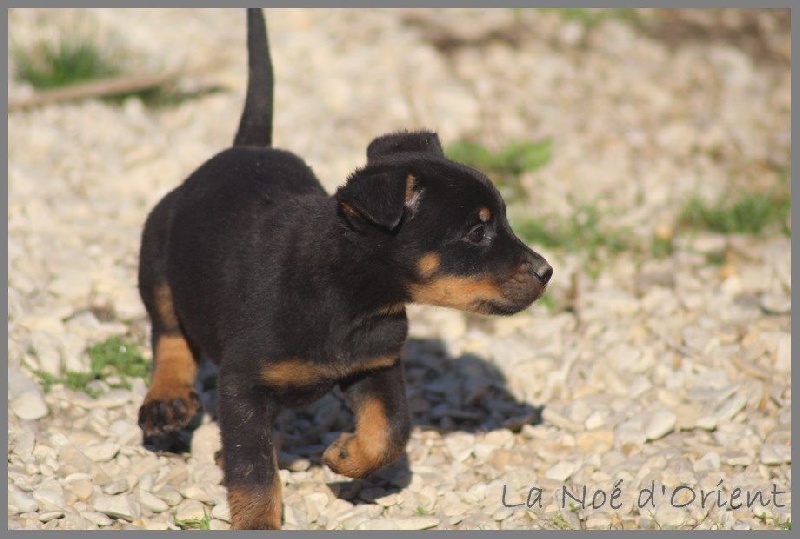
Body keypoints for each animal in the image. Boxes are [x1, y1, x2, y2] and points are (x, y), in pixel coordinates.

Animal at [137, 8, 552, 530]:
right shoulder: (241, 383)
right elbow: (254, 468)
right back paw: (167, 399)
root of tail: (242, 148)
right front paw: (258, 520)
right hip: (156, 250)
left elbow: (392, 429)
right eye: (476, 232)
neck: (345, 292)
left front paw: (345, 457)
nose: (546, 271)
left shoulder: (375, 364)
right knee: (169, 330)